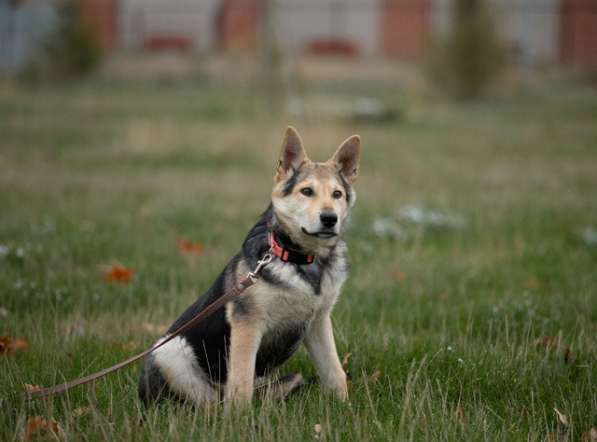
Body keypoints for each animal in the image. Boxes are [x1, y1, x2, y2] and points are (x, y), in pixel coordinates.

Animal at [137, 126, 358, 406]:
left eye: (337, 194)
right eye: (307, 191)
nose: (330, 219)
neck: (300, 257)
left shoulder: (317, 322)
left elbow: (334, 372)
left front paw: (344, 407)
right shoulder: (247, 326)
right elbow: (241, 384)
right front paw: (239, 418)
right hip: (170, 350)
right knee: (205, 403)